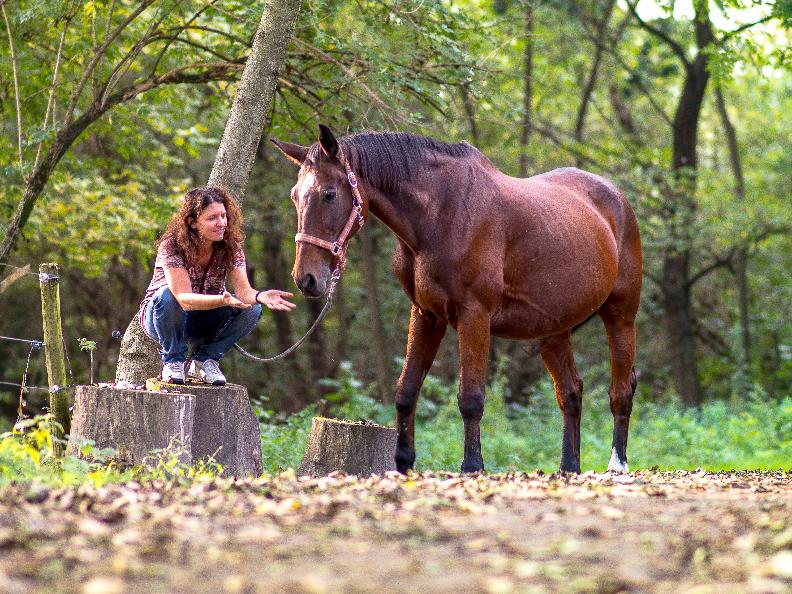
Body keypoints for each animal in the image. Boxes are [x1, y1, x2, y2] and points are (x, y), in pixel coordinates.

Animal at [276, 123, 640, 472]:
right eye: (294, 196)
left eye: (329, 194)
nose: (306, 278)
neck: (441, 215)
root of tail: (616, 197)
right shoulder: (425, 314)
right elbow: (406, 391)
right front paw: (404, 464)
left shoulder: (473, 315)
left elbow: (471, 398)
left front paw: (472, 466)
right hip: (553, 329)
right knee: (570, 393)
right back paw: (569, 468)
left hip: (621, 315)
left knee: (621, 390)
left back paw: (617, 465)